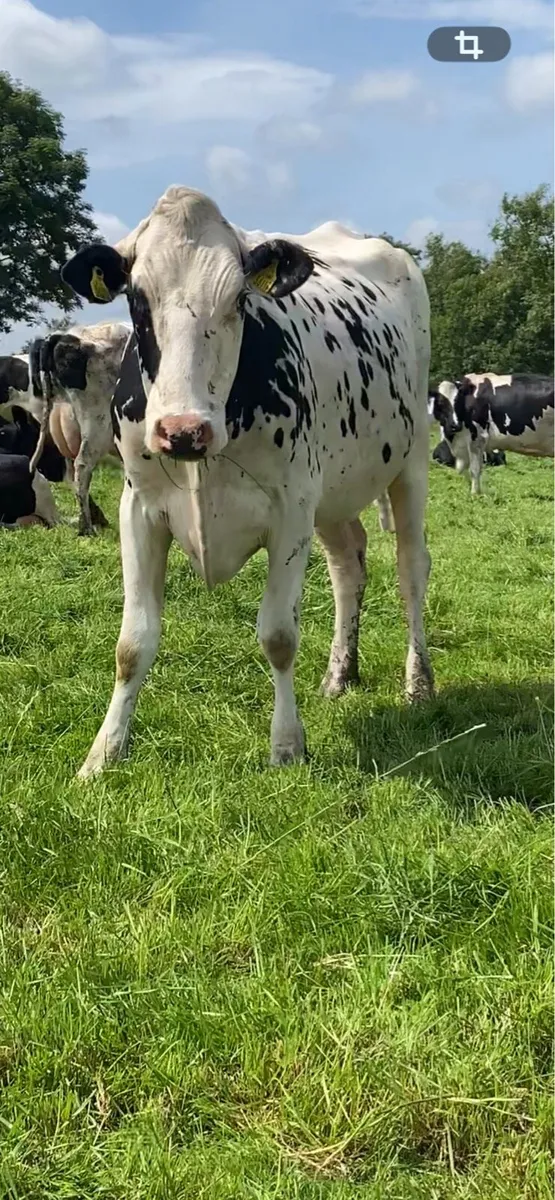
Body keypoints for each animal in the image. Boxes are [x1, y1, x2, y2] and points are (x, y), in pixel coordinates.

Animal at [61, 186, 435, 779]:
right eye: (137, 299)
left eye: (239, 299)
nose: (182, 430)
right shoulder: (138, 509)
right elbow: (132, 643)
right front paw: (104, 753)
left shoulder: (290, 510)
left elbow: (278, 636)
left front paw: (286, 746)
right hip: (332, 494)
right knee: (348, 567)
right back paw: (340, 673)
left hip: (410, 459)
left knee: (410, 569)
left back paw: (418, 683)